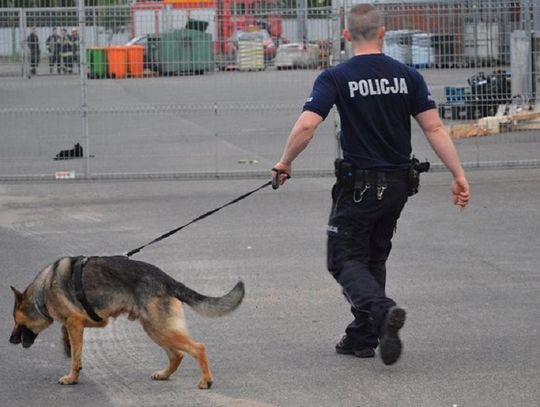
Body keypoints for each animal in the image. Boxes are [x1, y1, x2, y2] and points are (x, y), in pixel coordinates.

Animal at [9, 256, 245, 390]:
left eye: (16, 321)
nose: (10, 340)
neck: (43, 290)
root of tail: (166, 279)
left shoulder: (75, 323)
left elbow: (75, 357)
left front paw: (71, 377)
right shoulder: (89, 323)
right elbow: (70, 340)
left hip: (160, 328)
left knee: (198, 348)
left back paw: (206, 380)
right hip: (155, 329)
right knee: (177, 354)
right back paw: (164, 374)